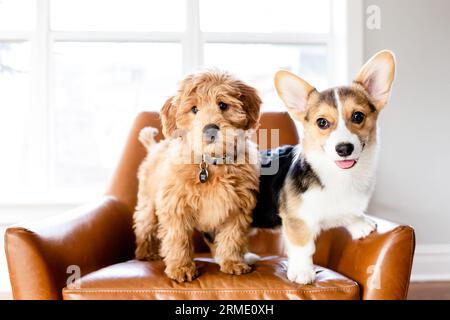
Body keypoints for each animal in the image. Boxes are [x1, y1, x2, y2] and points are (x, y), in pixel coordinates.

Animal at [132, 70, 262, 282]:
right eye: (194, 109)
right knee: (144, 224)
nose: (210, 129)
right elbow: (178, 238)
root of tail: (155, 148)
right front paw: (181, 268)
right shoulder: (174, 205)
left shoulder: (237, 207)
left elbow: (232, 236)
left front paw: (232, 262)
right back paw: (146, 252)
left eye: (223, 105)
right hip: (148, 202)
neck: (210, 164)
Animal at [251, 51, 396, 284]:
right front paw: (302, 272)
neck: (339, 176)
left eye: (358, 116)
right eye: (322, 123)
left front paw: (359, 224)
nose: (344, 148)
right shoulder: (296, 221)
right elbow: (303, 247)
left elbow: (347, 211)